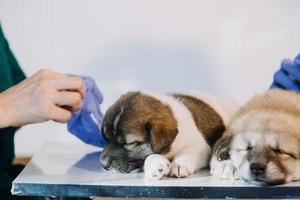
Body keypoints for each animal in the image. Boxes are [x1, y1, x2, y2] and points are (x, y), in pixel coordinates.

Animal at [99, 90, 238, 180]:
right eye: (106, 139)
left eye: (129, 143)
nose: (103, 165)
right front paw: (155, 164)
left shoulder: (201, 147)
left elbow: (189, 151)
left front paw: (179, 164)